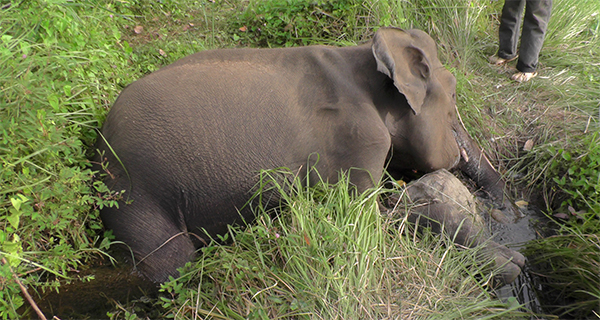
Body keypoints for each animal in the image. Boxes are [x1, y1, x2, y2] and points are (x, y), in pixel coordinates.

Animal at [95, 27, 520, 282]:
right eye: (453, 93)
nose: (509, 211)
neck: (364, 56)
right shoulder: (355, 139)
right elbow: (366, 222)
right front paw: (509, 264)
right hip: (134, 192)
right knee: (172, 262)